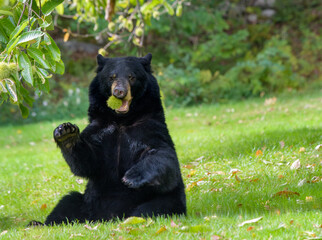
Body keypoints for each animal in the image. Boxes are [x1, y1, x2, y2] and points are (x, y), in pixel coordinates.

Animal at [33, 53, 185, 225]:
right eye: (112, 77)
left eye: (131, 77)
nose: (119, 91)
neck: (122, 121)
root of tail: (106, 218)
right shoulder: (100, 130)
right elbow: (89, 162)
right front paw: (67, 133)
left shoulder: (149, 127)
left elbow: (163, 156)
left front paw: (132, 177)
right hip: (86, 202)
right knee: (67, 203)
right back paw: (38, 223)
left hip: (166, 201)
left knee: (155, 207)